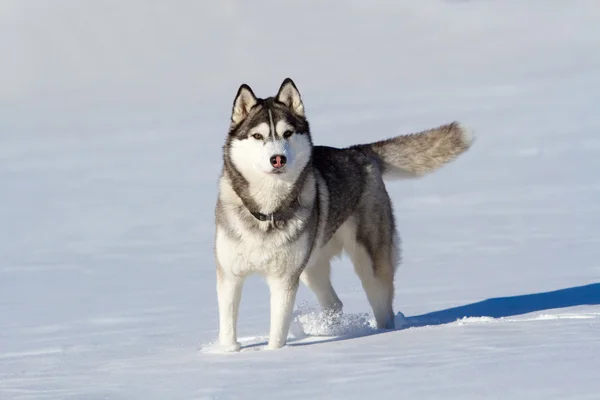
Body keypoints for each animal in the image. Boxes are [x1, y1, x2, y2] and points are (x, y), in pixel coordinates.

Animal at [214, 78, 474, 350]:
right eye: (257, 136)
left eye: (287, 134)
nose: (278, 159)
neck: (267, 211)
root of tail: (357, 152)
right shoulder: (229, 275)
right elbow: (228, 324)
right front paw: (229, 351)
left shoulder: (284, 280)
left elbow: (277, 332)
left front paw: (274, 353)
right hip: (312, 266)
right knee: (334, 302)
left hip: (369, 263)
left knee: (382, 306)